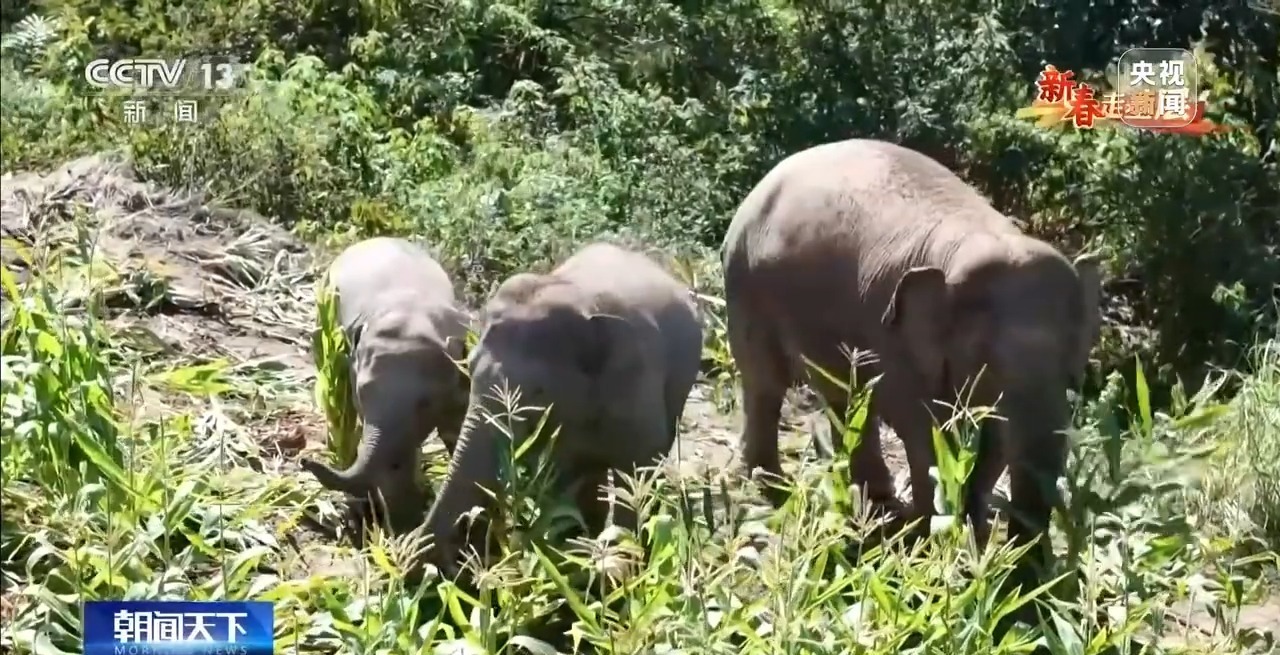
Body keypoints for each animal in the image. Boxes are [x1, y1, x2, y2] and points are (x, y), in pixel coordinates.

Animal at [300, 237, 472, 541]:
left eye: (425, 403)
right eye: (363, 393)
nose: (304, 461)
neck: (411, 313)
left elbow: (455, 431)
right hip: (322, 322)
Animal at [421, 242, 703, 575]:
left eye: (538, 390)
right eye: (470, 367)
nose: (450, 563)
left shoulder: (636, 386)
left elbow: (635, 474)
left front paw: (621, 568)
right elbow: (562, 481)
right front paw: (572, 563)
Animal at [721, 138, 1102, 591]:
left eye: (1070, 356)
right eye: (988, 362)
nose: (1033, 577)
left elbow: (991, 444)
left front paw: (970, 535)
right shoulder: (895, 340)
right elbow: (927, 432)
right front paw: (934, 540)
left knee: (846, 399)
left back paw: (877, 504)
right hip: (745, 281)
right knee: (766, 379)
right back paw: (772, 485)